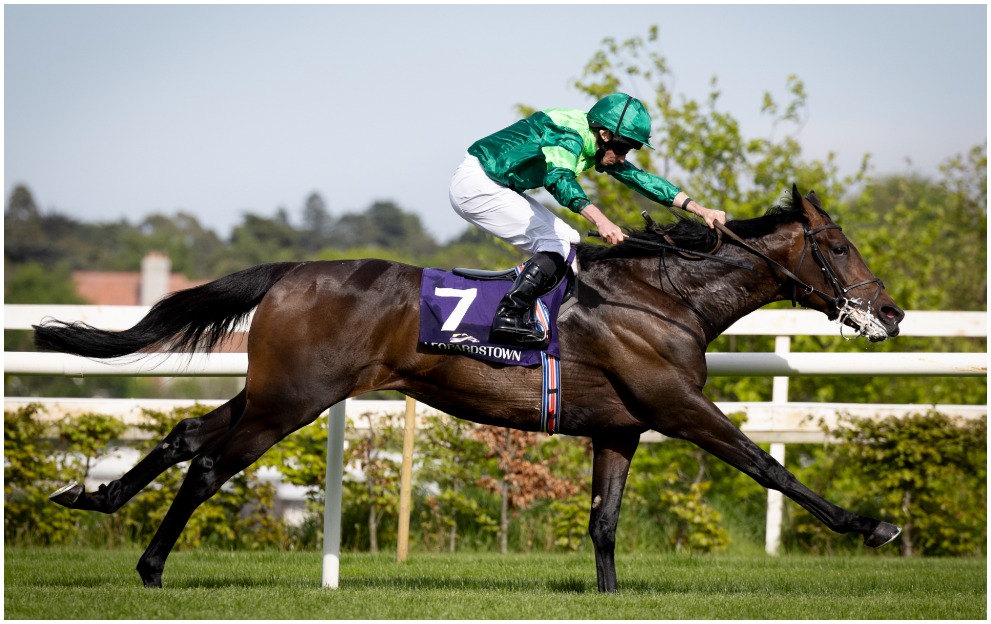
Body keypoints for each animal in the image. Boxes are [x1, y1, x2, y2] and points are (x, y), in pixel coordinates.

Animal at [37, 185, 905, 592]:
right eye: (835, 244)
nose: (891, 311)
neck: (663, 297)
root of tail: (291, 270)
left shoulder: (618, 427)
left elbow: (603, 522)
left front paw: (609, 594)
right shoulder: (678, 406)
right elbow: (768, 465)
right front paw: (871, 527)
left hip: (272, 390)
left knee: (186, 436)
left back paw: (94, 497)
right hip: (293, 400)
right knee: (211, 465)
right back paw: (151, 566)